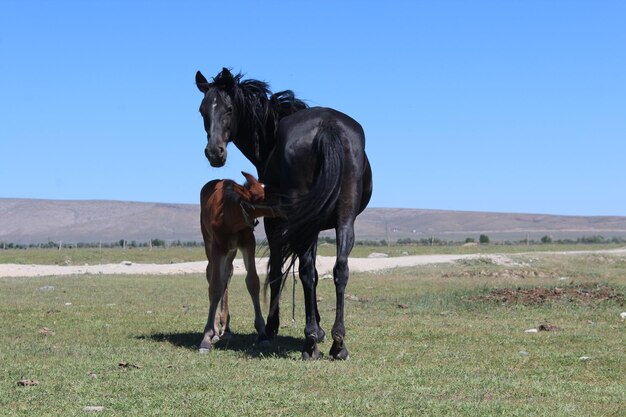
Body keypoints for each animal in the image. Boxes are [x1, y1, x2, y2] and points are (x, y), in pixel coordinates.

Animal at [195, 68, 370, 358]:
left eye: (229, 109)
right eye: (202, 111)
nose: (214, 153)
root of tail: (329, 127)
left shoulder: (275, 223)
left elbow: (277, 269)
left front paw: (275, 326)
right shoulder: (315, 224)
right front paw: (320, 328)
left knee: (306, 271)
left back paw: (310, 343)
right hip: (344, 219)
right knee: (339, 269)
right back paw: (338, 343)